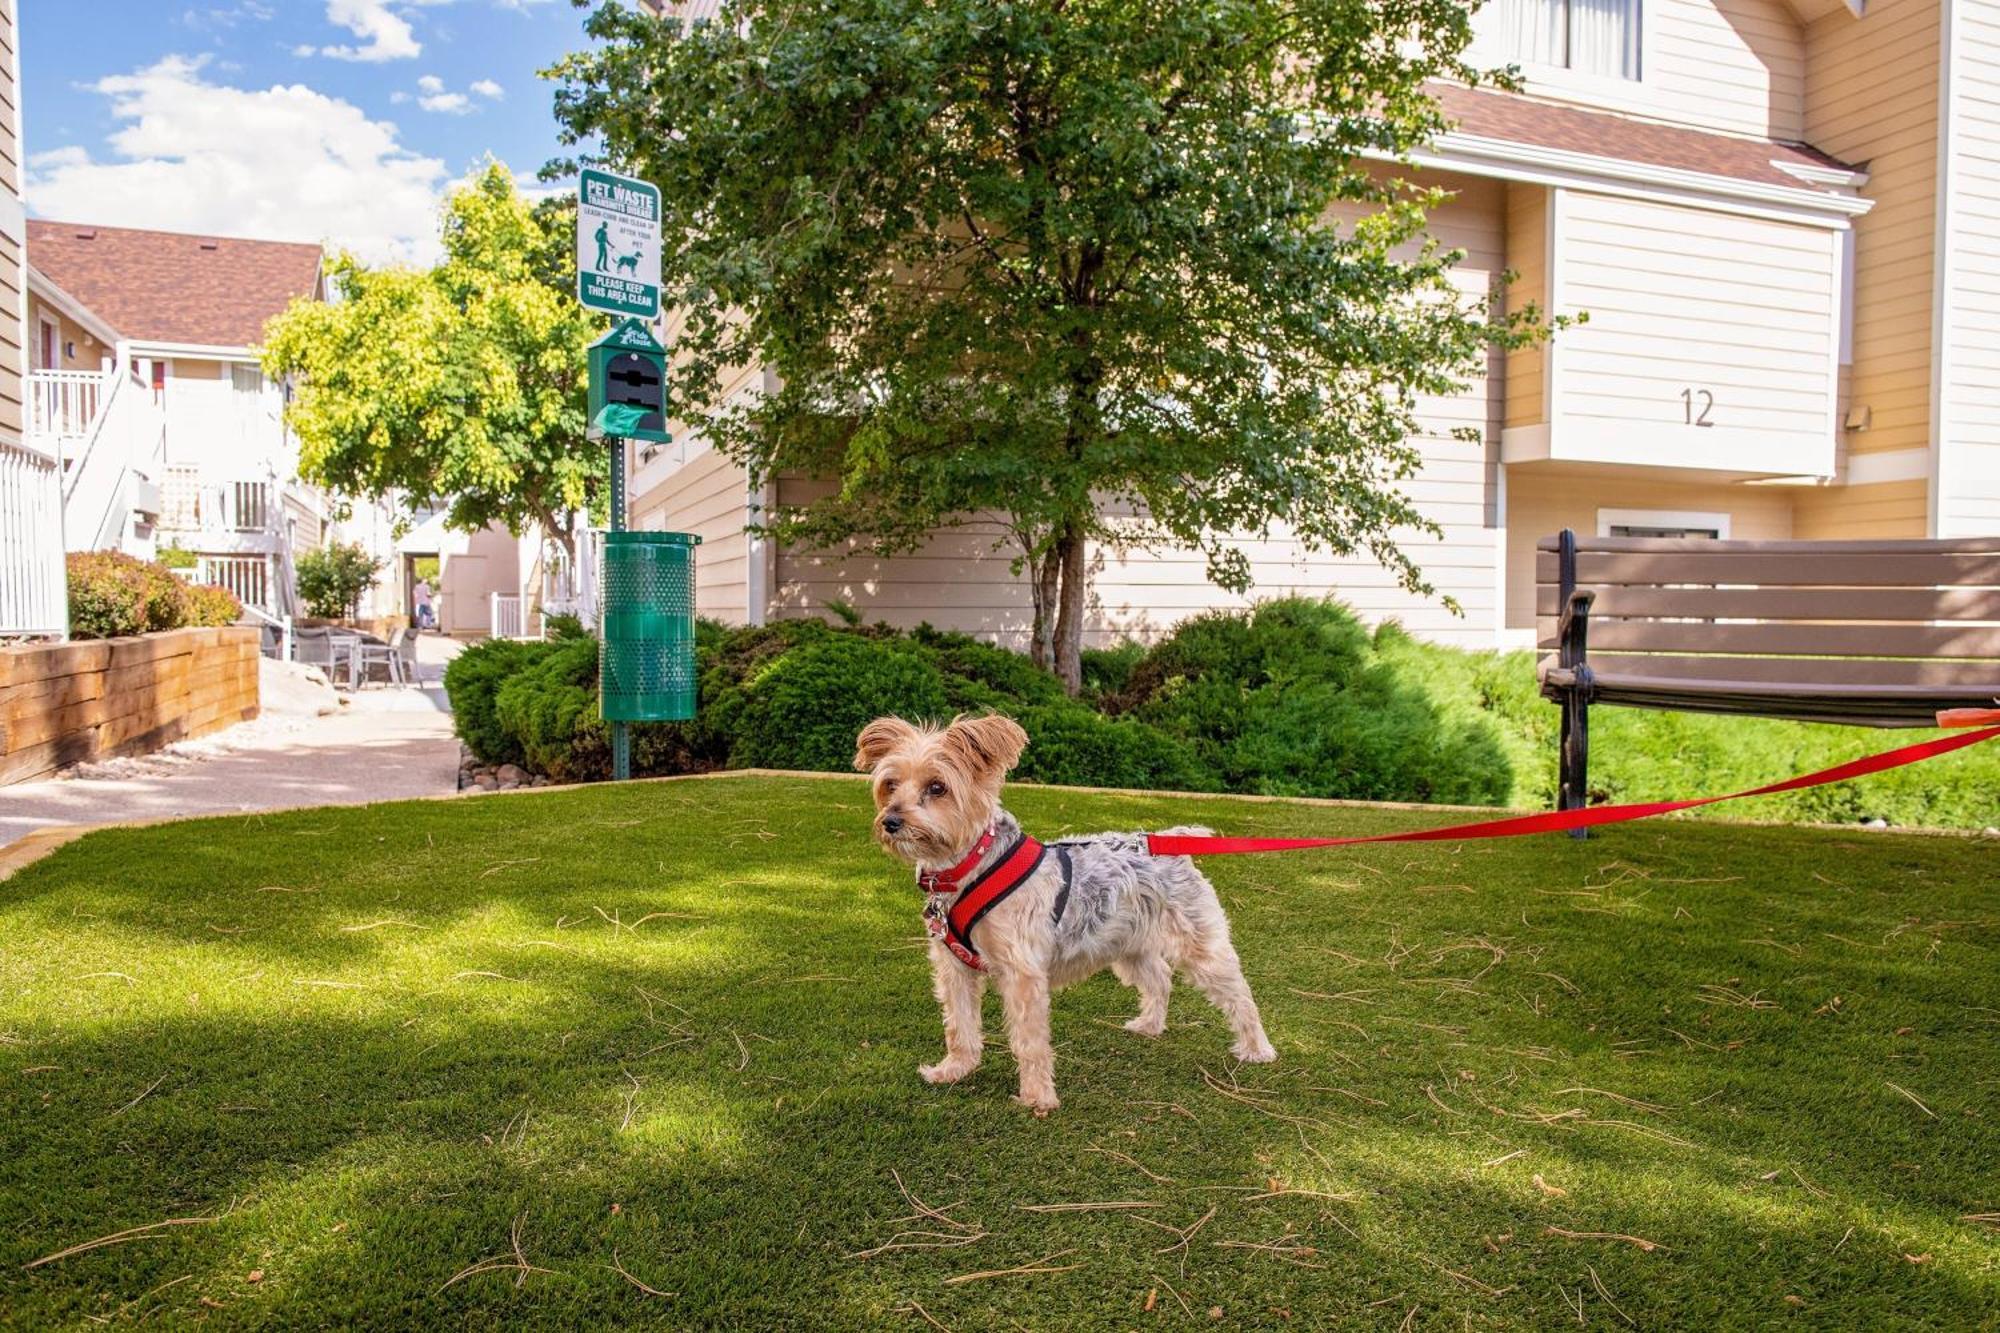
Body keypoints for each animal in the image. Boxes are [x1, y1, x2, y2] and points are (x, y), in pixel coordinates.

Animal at [852, 704, 1272, 1112]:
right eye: (890, 784)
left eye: (937, 787)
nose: (890, 821)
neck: (970, 865)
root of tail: (1170, 841)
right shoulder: (954, 968)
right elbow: (960, 1024)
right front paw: (955, 1069)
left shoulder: (1022, 973)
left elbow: (1030, 1041)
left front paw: (1038, 1097)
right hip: (1128, 944)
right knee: (1159, 977)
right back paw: (1150, 1024)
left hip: (1201, 947)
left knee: (1239, 994)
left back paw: (1257, 1048)